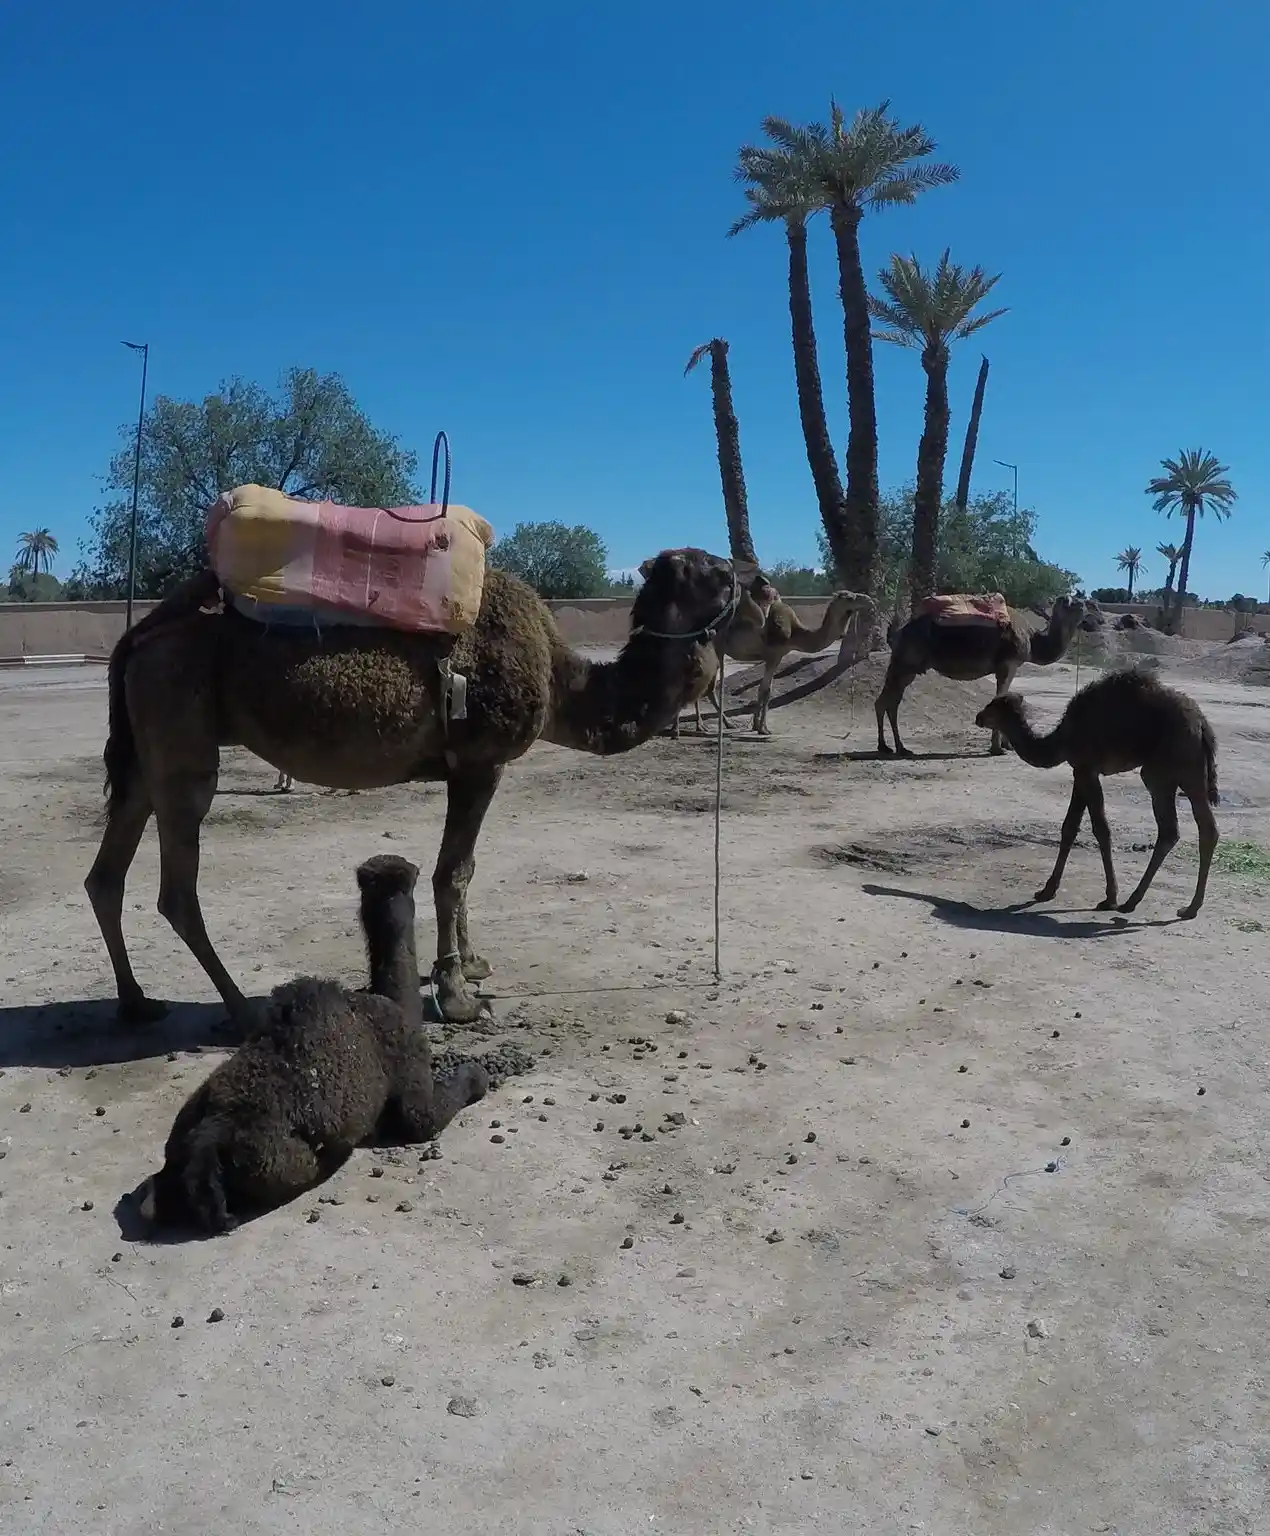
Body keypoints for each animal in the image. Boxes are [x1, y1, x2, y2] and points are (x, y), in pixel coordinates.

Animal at [85, 547, 738, 1029]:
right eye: (707, 568)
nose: (743, 572)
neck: (560, 679)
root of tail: (138, 636)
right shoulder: (480, 760)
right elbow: (453, 872)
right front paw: (457, 996)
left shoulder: (477, 767)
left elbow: (466, 867)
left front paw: (472, 965)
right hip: (182, 733)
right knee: (176, 887)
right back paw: (242, 1008)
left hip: (146, 749)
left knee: (106, 874)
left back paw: (137, 1002)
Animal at [876, 594, 1102, 756]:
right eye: (1081, 604)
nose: (1095, 620)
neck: (1033, 640)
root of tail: (899, 631)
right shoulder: (1008, 664)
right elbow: (1000, 695)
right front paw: (997, 748)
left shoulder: (1007, 667)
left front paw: (1006, 744)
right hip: (907, 664)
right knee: (889, 701)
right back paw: (897, 748)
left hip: (905, 666)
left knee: (887, 701)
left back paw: (888, 746)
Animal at [974, 668, 1219, 920]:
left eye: (992, 705)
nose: (978, 717)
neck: (1062, 738)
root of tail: (1202, 726)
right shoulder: (1080, 771)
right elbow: (1069, 827)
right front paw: (1047, 890)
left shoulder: (1086, 768)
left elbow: (1100, 829)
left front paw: (1110, 898)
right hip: (1188, 773)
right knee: (1204, 829)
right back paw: (1189, 907)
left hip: (1162, 770)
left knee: (1171, 829)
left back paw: (1133, 902)